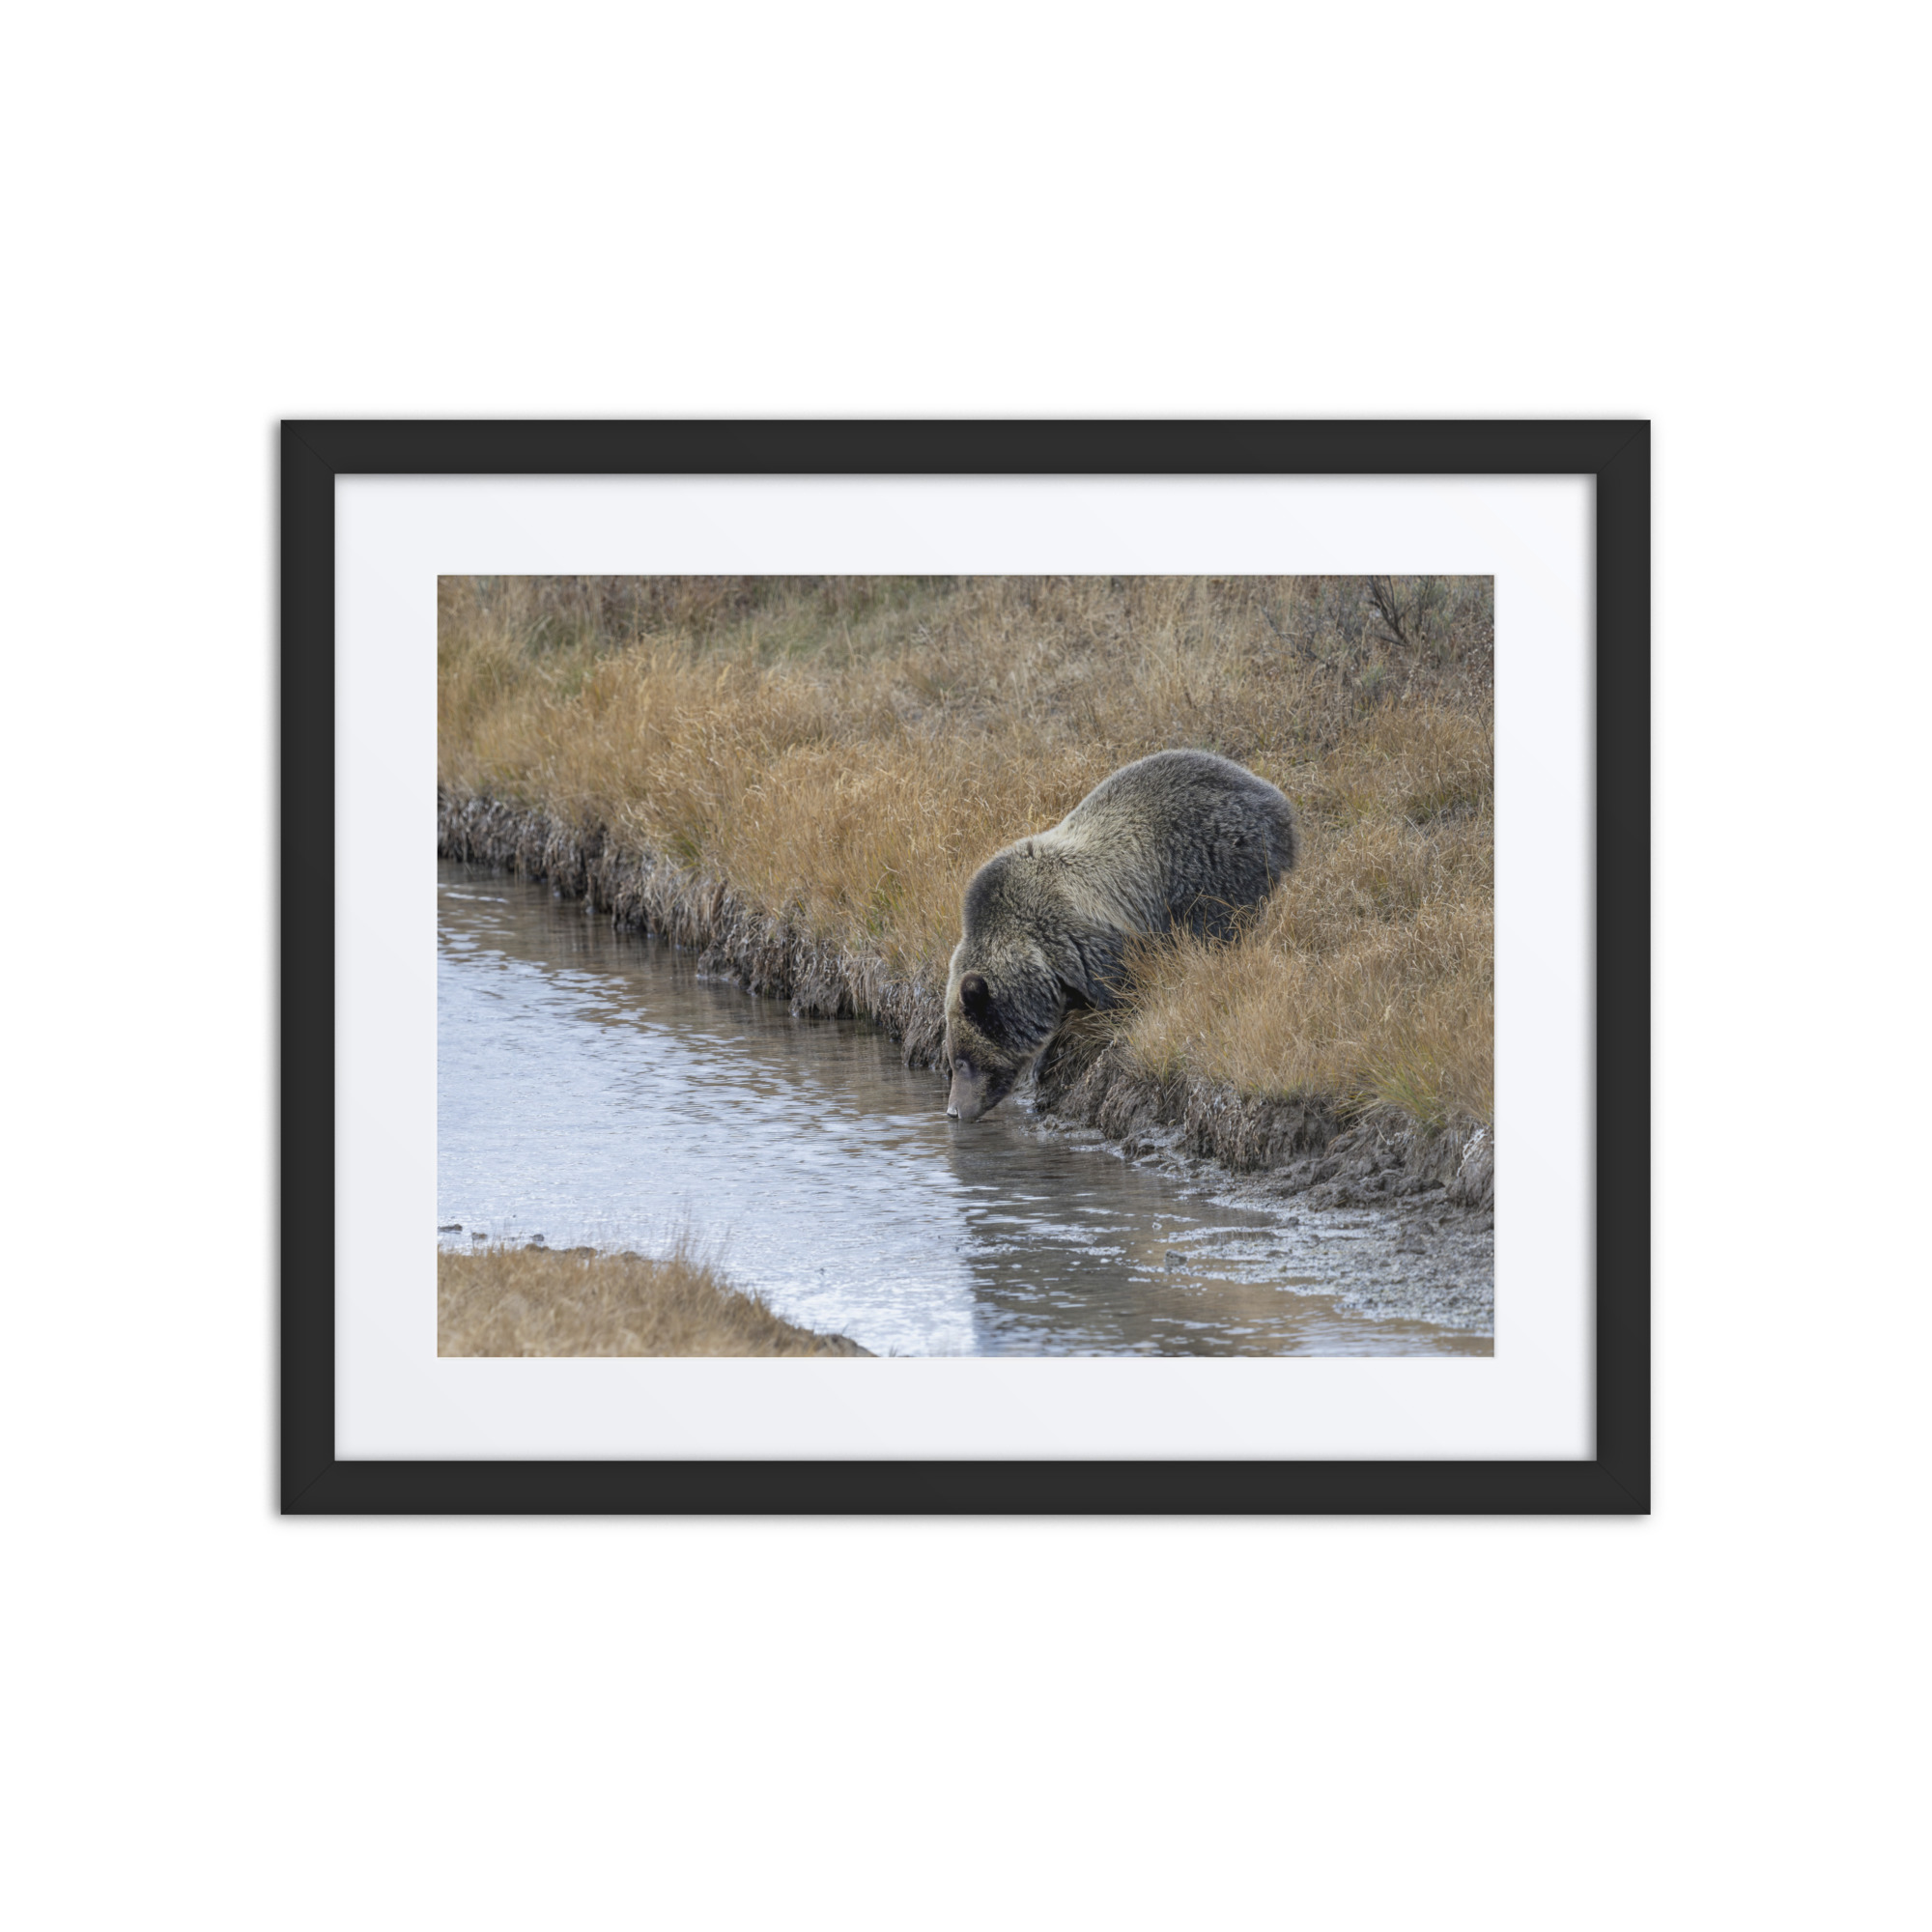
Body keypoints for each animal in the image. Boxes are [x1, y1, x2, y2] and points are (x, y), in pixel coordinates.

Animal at [944, 749, 1299, 1122]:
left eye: (962, 1061)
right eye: (952, 1060)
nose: (953, 1110)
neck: (1036, 956)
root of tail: (1275, 797)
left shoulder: (1085, 941)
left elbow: (1120, 991)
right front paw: (1044, 1058)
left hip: (1212, 860)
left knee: (1218, 925)